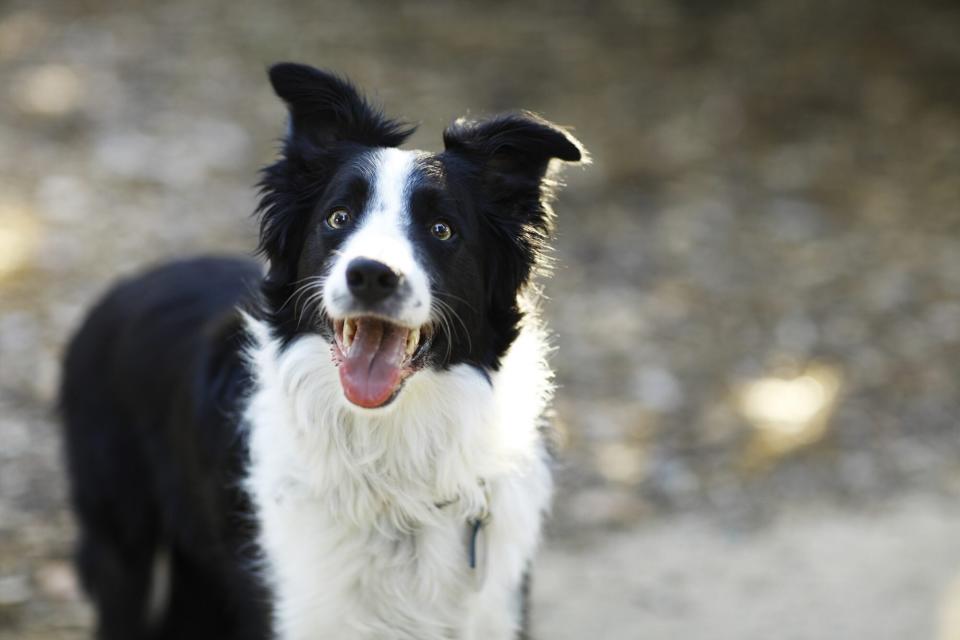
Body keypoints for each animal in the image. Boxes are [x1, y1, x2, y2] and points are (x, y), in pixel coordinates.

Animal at [62, 61, 584, 640]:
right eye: (337, 218)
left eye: (442, 229)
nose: (371, 275)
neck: (392, 471)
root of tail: (124, 287)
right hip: (121, 540)